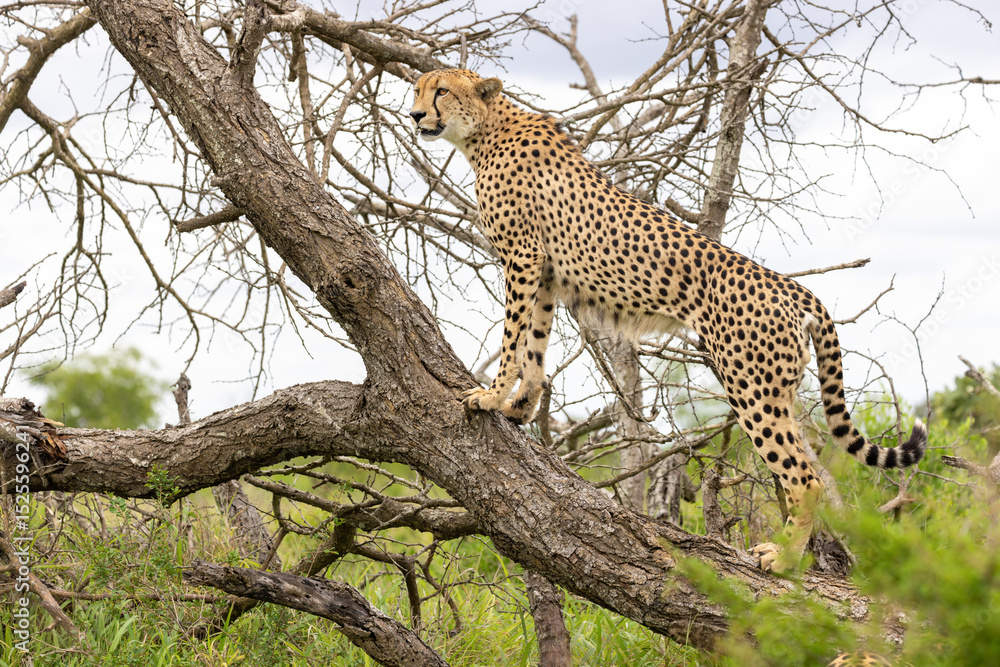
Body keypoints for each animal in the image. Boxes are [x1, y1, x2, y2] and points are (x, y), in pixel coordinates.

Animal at [409, 68, 926, 572]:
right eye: (417, 89)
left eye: (442, 91)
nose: (414, 115)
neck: (485, 132)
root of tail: (792, 286)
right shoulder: (548, 273)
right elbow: (535, 341)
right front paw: (520, 405)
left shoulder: (523, 258)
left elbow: (513, 335)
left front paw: (491, 396)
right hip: (778, 389)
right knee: (809, 466)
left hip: (751, 387)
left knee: (804, 478)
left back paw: (784, 561)